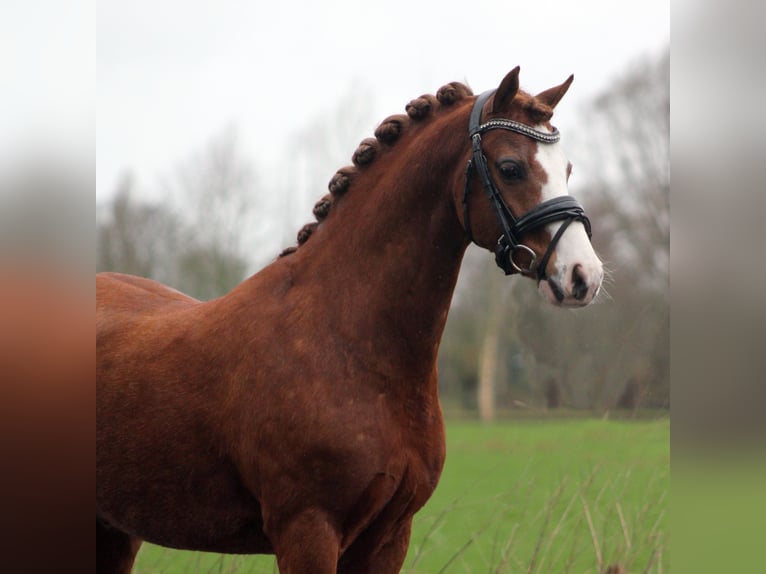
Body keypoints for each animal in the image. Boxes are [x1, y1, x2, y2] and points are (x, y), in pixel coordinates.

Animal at [96, 66, 604, 573]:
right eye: (511, 167)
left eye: (567, 169)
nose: (584, 276)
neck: (345, 343)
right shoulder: (307, 531)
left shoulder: (389, 537)